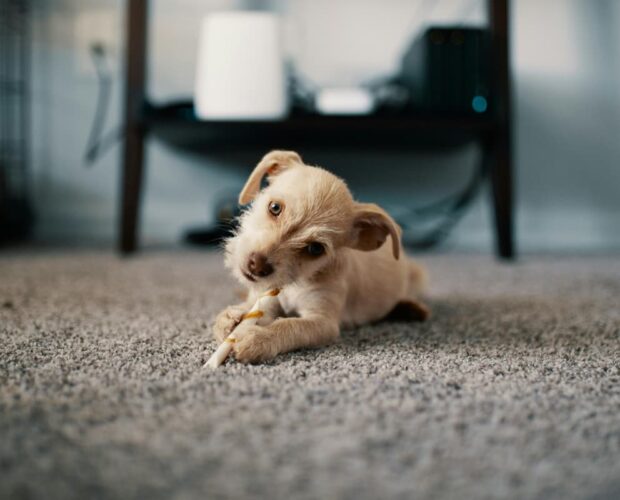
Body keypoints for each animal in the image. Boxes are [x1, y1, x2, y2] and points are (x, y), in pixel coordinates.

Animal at [213, 149, 426, 364]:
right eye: (274, 208)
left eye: (315, 249)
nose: (257, 266)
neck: (295, 283)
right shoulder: (266, 299)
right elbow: (251, 309)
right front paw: (231, 318)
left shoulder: (323, 322)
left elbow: (290, 326)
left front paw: (258, 338)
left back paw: (411, 308)